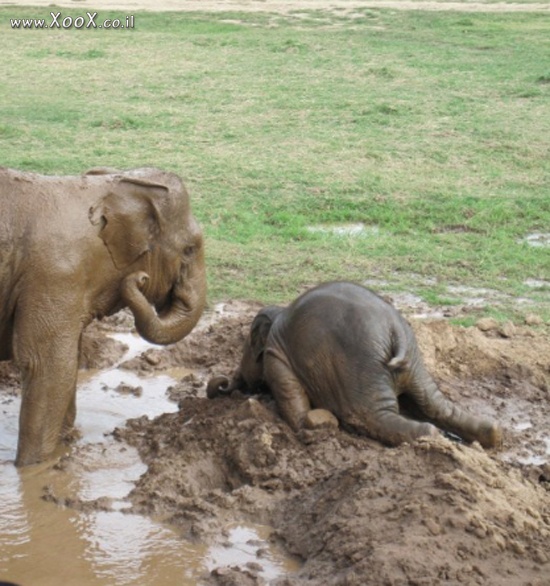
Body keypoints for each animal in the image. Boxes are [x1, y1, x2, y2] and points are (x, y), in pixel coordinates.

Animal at [0, 165, 207, 466]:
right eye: (189, 249)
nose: (141, 278)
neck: (109, 187)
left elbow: (70, 361)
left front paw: (66, 448)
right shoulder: (55, 276)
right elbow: (46, 365)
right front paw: (33, 469)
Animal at [208, 280, 504, 448]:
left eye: (246, 347)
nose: (221, 384)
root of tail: (396, 331)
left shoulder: (276, 357)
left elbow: (291, 398)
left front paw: (308, 426)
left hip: (360, 368)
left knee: (370, 416)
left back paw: (429, 437)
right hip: (413, 363)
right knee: (435, 406)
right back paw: (488, 435)